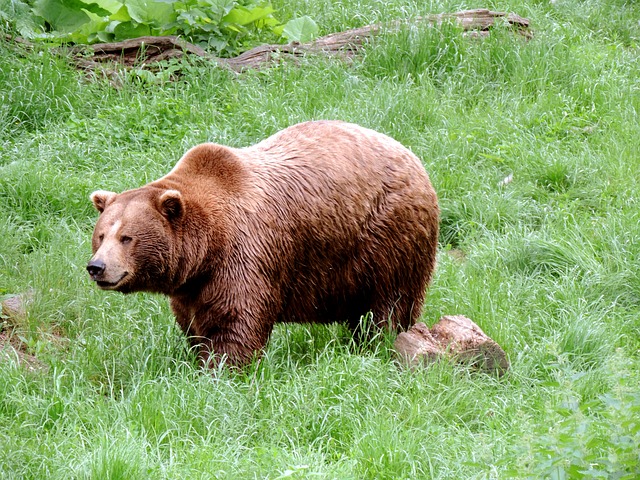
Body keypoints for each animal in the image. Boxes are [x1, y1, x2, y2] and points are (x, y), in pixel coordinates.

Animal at [86, 121, 440, 368]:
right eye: (101, 235)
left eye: (127, 237)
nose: (97, 267)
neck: (208, 247)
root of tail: (413, 157)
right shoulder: (193, 285)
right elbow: (193, 322)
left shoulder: (245, 255)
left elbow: (234, 321)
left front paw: (221, 368)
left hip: (387, 235)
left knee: (388, 303)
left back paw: (377, 341)